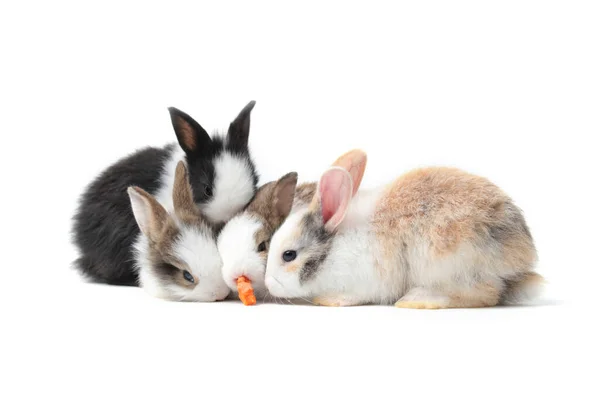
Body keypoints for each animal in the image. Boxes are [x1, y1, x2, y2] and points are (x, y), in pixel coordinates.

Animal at [264, 148, 544, 308]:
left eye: (289, 255)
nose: (268, 285)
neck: (335, 248)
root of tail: (522, 253)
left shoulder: (366, 281)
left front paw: (330, 300)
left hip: (449, 263)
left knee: (485, 294)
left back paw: (417, 300)